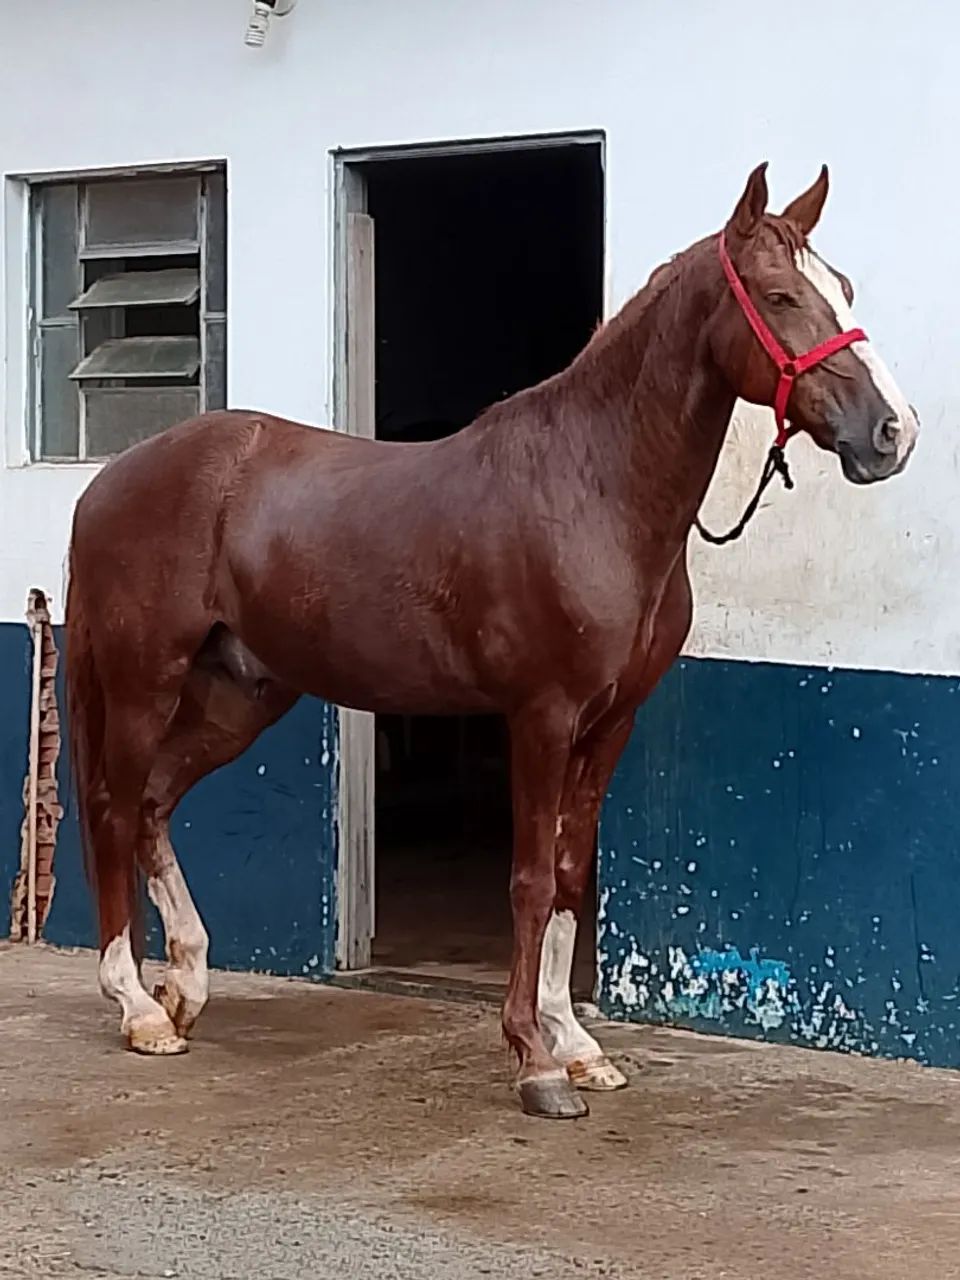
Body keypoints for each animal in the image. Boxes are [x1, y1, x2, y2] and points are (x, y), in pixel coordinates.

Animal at [65, 163, 918, 1120]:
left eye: (841, 289)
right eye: (779, 296)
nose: (892, 433)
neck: (592, 488)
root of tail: (112, 479)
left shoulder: (611, 720)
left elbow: (573, 875)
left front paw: (578, 1045)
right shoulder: (540, 715)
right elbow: (531, 878)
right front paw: (535, 1061)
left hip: (238, 696)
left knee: (152, 804)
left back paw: (186, 987)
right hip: (146, 680)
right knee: (112, 808)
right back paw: (138, 1006)